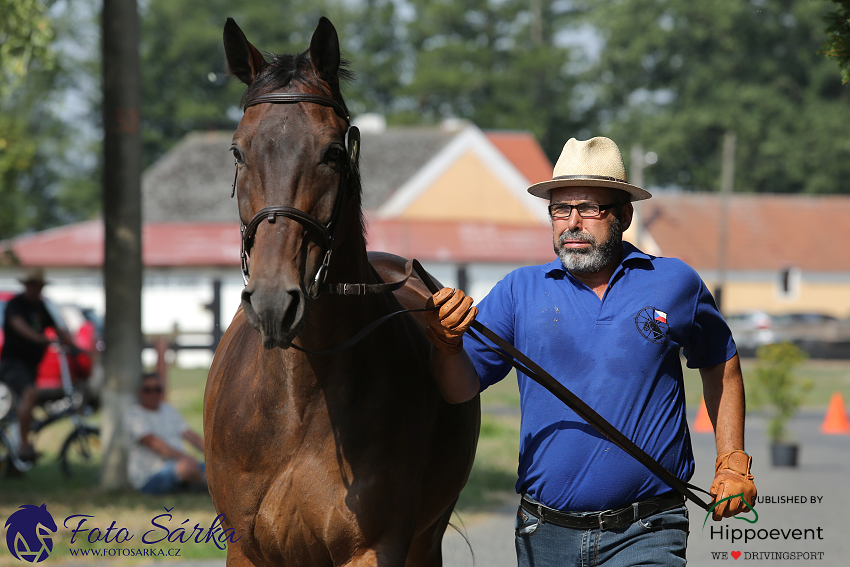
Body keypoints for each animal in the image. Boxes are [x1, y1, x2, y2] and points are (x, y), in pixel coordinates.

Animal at [203, 15, 480, 564]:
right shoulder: (246, 549)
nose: (273, 302)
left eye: (332, 152)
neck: (296, 407)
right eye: (238, 151)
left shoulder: (375, 547)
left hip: (426, 537)